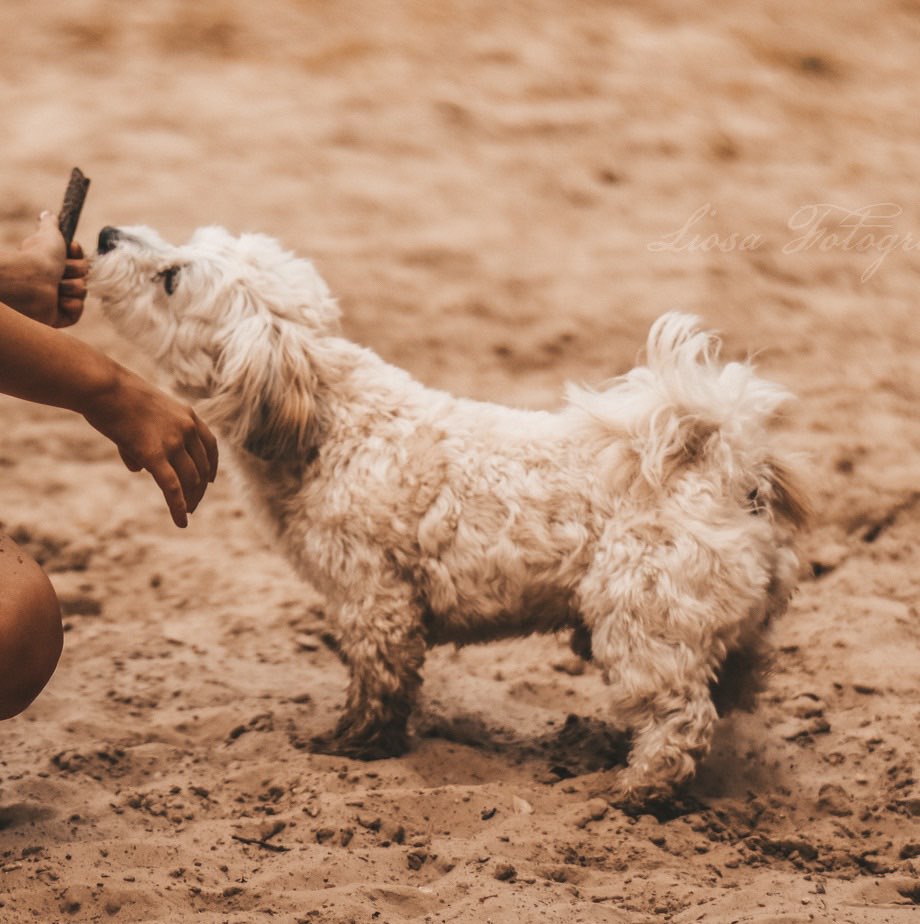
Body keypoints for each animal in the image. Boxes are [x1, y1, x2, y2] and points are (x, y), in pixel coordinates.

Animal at [90, 227, 800, 804]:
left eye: (172, 277)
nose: (103, 233)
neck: (328, 418)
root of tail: (728, 469)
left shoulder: (373, 597)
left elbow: (378, 683)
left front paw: (352, 745)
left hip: (641, 622)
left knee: (681, 719)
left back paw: (637, 788)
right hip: (711, 633)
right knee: (723, 699)